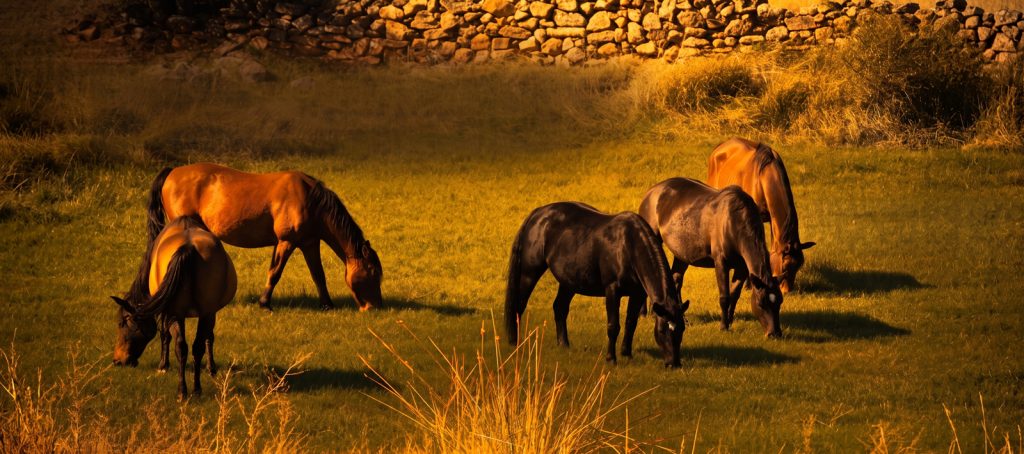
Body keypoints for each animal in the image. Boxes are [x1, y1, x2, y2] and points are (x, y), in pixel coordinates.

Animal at [111, 216, 237, 399]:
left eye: (121, 324)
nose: (117, 360)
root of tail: (188, 247)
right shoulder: (208, 312)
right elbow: (208, 337)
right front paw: (211, 368)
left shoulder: (165, 310)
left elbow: (164, 334)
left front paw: (163, 365)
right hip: (199, 312)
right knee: (191, 347)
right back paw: (193, 389)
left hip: (175, 312)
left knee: (181, 344)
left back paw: (183, 390)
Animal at [147, 163, 382, 311]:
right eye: (372, 272)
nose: (374, 307)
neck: (309, 199)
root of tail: (172, 172)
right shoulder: (286, 242)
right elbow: (275, 273)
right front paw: (264, 303)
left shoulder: (309, 243)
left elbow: (318, 275)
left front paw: (327, 304)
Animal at [504, 202, 690, 368]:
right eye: (662, 330)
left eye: (682, 329)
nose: (674, 364)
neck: (628, 245)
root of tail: (538, 213)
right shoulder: (612, 290)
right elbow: (613, 326)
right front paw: (611, 359)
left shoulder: (637, 293)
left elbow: (631, 323)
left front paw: (626, 354)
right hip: (529, 273)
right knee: (519, 305)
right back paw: (515, 342)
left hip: (569, 281)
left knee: (560, 308)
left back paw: (563, 344)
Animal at [639, 178, 783, 338]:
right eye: (761, 303)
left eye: (779, 302)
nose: (775, 333)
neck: (734, 221)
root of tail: (651, 192)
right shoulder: (721, 263)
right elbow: (725, 297)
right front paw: (723, 326)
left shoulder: (742, 268)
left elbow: (734, 295)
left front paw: (729, 321)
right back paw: (645, 313)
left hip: (681, 253)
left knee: (676, 280)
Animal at [707, 138, 815, 293]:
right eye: (785, 266)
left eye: (799, 265)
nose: (786, 291)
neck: (762, 178)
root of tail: (720, 147)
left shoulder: (771, 220)